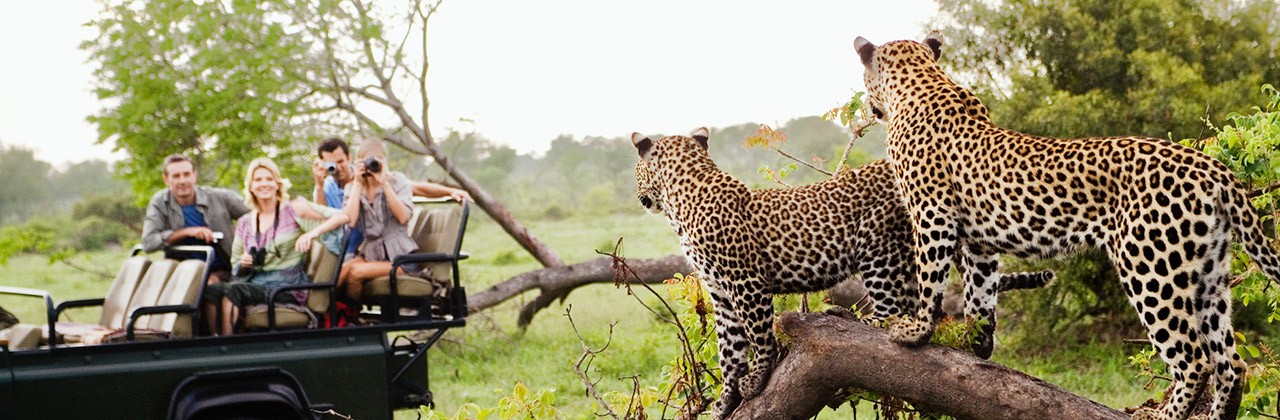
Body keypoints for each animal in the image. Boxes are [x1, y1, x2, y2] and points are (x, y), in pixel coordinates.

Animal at [627, 128, 1049, 420]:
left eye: (635, 170)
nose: (639, 197)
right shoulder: (720, 292)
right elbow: (728, 350)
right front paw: (725, 401)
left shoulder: (747, 284)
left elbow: (759, 337)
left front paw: (758, 378)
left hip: (879, 248)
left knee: (892, 314)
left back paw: (850, 317)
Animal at [849, 33, 1280, 420]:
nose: (871, 108)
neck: (922, 82)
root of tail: (1212, 168)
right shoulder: (980, 243)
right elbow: (980, 290)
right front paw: (978, 342)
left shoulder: (932, 213)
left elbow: (930, 277)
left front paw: (916, 332)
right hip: (1208, 273)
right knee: (1231, 364)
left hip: (1152, 267)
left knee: (1194, 360)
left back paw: (1162, 416)